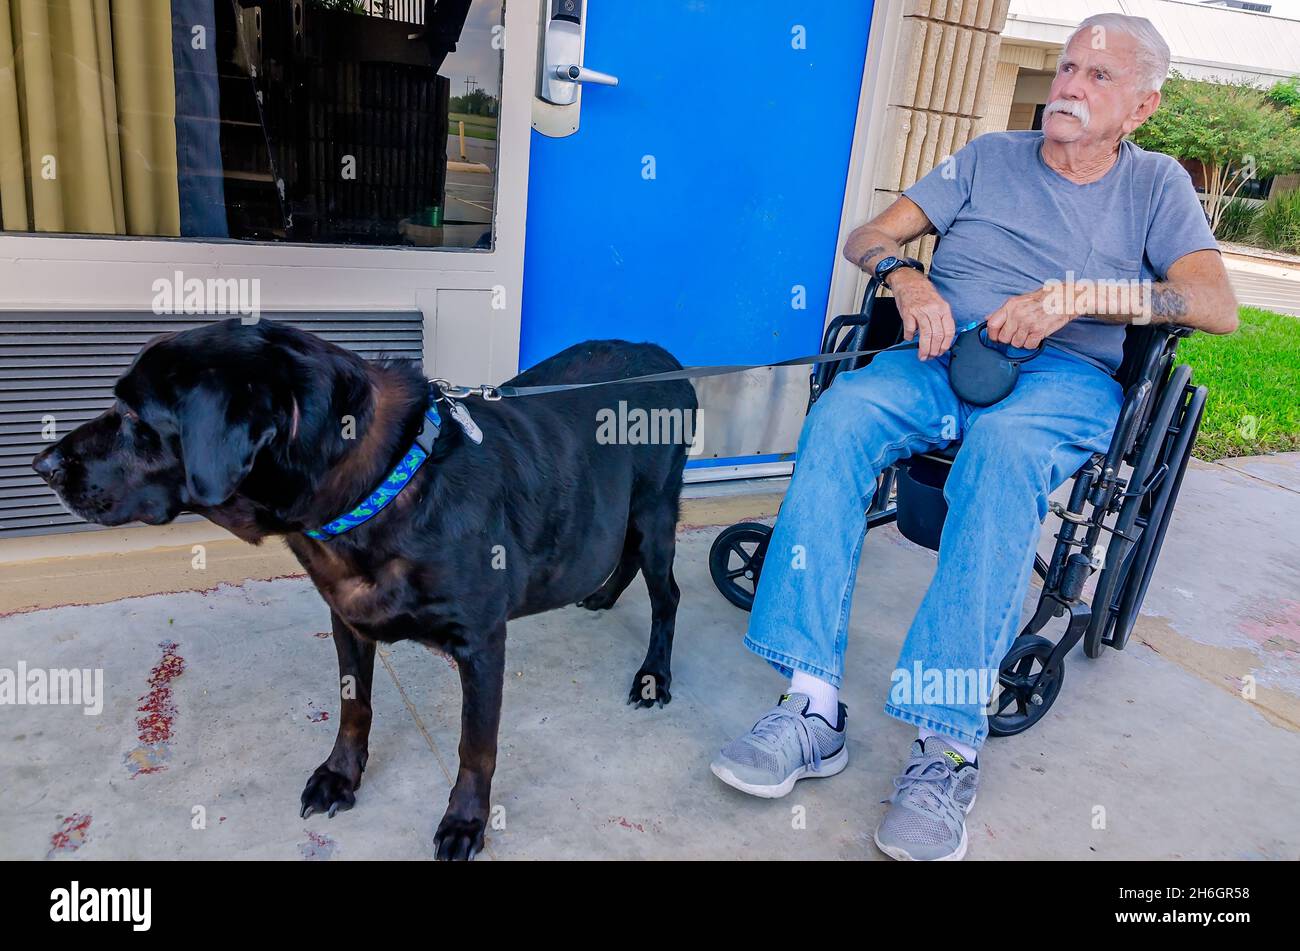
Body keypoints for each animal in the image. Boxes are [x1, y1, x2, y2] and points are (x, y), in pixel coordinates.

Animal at [30, 319, 696, 862]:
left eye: (134, 418)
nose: (43, 465)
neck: (381, 484)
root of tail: (666, 356)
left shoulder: (482, 644)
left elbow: (475, 746)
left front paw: (465, 821)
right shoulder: (346, 621)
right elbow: (355, 708)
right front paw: (340, 777)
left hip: (656, 513)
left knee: (667, 595)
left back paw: (653, 675)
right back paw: (603, 596)